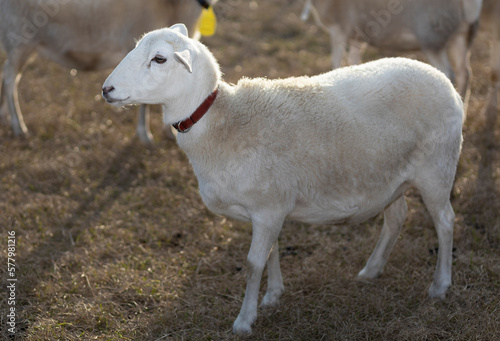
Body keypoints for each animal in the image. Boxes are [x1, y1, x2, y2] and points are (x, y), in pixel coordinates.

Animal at [0, 0, 213, 142]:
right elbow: (146, 100)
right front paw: (145, 135)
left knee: (8, 76)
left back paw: (5, 117)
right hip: (20, 38)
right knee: (10, 80)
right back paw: (18, 126)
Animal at [101, 25, 464, 334]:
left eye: (159, 59)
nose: (106, 90)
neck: (223, 121)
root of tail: (446, 83)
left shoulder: (268, 208)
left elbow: (252, 264)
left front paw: (244, 320)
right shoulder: (267, 210)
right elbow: (271, 253)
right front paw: (273, 295)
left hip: (437, 168)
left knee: (445, 220)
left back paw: (440, 285)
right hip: (389, 178)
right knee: (397, 216)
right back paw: (371, 270)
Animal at [302, 0, 482, 109]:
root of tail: (470, 5)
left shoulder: (339, 28)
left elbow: (336, 60)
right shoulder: (357, 35)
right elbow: (354, 60)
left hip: (433, 36)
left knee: (448, 73)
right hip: (463, 34)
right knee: (464, 73)